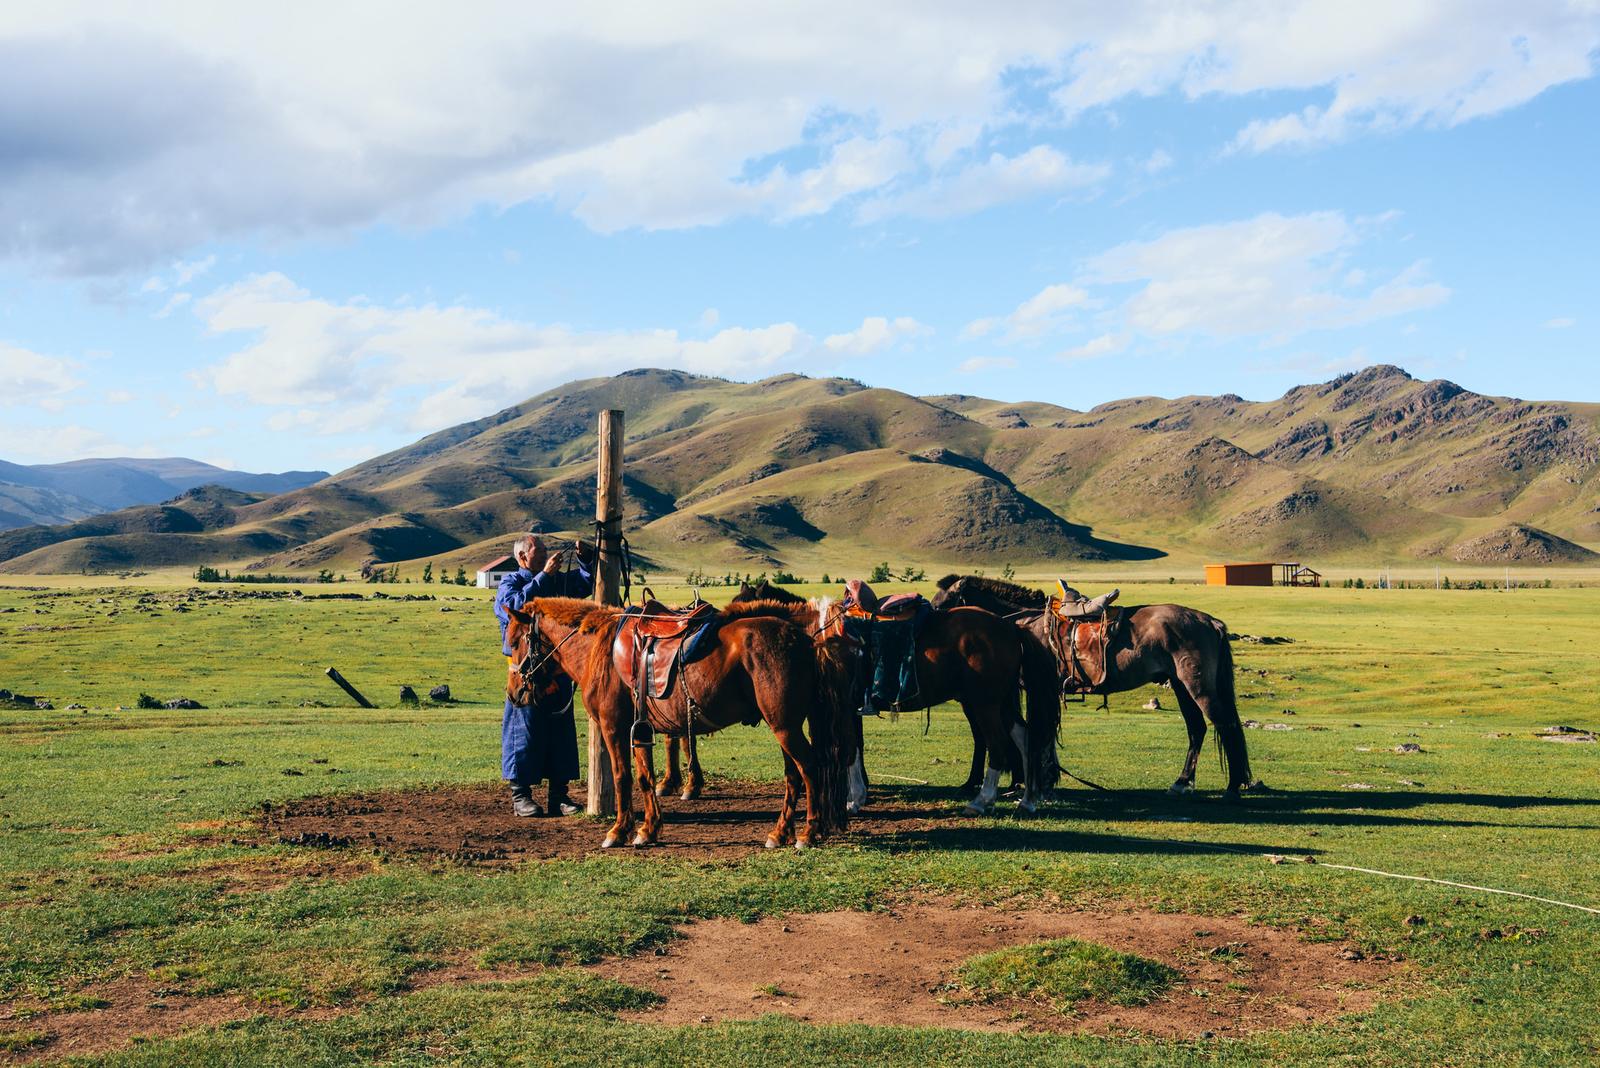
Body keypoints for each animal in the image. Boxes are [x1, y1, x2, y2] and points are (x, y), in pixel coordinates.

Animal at [505, 591, 857, 850]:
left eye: (515, 642)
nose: (514, 693)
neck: (597, 648)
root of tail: (806, 640)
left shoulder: (612, 726)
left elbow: (622, 778)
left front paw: (618, 832)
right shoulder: (639, 729)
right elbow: (644, 777)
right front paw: (648, 830)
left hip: (784, 725)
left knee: (809, 767)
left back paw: (808, 833)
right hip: (786, 724)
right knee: (793, 774)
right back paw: (780, 833)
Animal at [934, 578, 1254, 796]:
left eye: (940, 604)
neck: (1025, 626)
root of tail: (1210, 621)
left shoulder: (1037, 689)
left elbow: (1037, 731)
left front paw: (1038, 781)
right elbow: (1040, 733)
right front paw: (1040, 779)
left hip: (1197, 685)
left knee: (1226, 726)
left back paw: (1233, 788)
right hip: (1180, 685)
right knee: (1197, 728)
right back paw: (1182, 782)